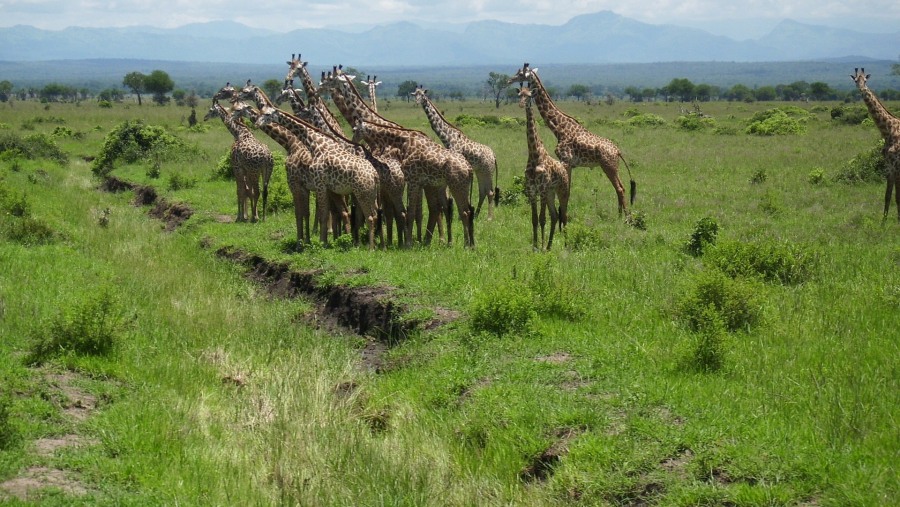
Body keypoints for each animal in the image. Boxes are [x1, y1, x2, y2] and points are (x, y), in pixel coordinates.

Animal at [354, 117, 478, 248]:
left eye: (355, 130)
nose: (354, 142)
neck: (404, 142)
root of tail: (469, 168)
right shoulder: (418, 182)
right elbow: (415, 212)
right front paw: (413, 241)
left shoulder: (412, 180)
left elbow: (411, 212)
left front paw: (408, 244)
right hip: (458, 186)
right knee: (463, 210)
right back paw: (466, 244)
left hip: (457, 186)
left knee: (464, 212)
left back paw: (466, 244)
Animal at [414, 86, 500, 220]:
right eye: (415, 94)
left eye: (422, 95)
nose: (417, 102)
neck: (448, 137)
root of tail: (494, 155)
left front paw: (454, 214)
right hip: (480, 171)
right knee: (483, 192)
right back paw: (476, 215)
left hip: (487, 171)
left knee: (490, 192)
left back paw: (489, 218)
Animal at [510, 62, 636, 217]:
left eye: (520, 74)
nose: (509, 80)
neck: (559, 128)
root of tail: (618, 151)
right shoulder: (568, 163)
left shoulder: (566, 161)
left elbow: (567, 192)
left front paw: (564, 215)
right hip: (612, 167)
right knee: (621, 187)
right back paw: (620, 216)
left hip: (608, 166)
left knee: (620, 188)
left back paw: (626, 217)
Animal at [520, 86, 568, 251]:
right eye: (519, 94)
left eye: (529, 96)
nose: (521, 104)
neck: (535, 155)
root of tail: (565, 169)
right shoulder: (532, 190)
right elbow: (534, 219)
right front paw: (535, 247)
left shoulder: (541, 190)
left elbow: (542, 219)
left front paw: (539, 247)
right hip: (550, 193)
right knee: (555, 216)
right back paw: (549, 246)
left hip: (562, 191)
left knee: (564, 216)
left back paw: (565, 245)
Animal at [852, 66, 900, 221]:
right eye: (856, 80)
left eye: (865, 80)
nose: (862, 89)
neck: (888, 131)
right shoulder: (889, 167)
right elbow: (888, 196)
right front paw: (883, 223)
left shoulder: (896, 166)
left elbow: (896, 197)